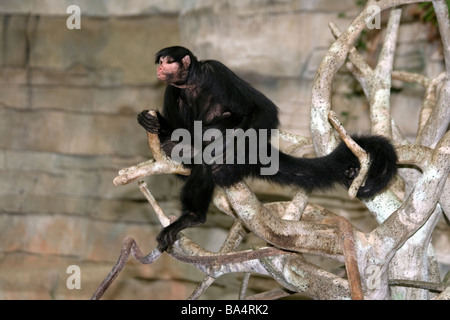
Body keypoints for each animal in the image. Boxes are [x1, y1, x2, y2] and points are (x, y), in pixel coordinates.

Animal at [137, 46, 398, 251]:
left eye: (167, 61)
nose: (160, 68)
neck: (192, 84)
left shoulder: (216, 71)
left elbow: (263, 110)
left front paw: (224, 153)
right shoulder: (172, 89)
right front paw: (151, 122)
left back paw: (195, 210)